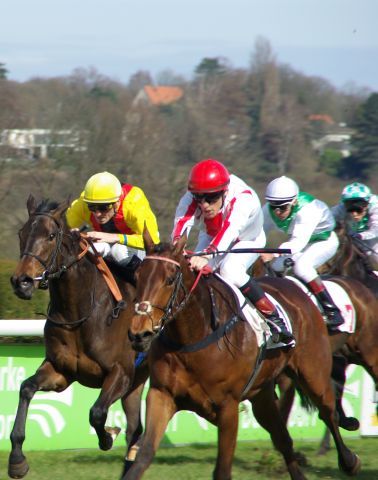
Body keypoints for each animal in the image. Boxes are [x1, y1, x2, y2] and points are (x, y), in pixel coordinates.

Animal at [8, 196, 148, 480]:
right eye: (21, 233)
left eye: (51, 236)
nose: (22, 282)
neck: (80, 312)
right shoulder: (61, 371)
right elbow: (26, 388)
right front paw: (17, 460)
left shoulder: (121, 372)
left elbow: (97, 413)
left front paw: (108, 436)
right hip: (137, 382)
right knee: (135, 429)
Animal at [125, 231, 360, 478]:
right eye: (138, 276)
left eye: (170, 279)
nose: (139, 333)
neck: (192, 338)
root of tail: (298, 289)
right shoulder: (161, 394)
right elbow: (144, 455)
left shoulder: (228, 407)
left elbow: (222, 469)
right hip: (262, 395)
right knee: (283, 439)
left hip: (313, 374)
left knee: (328, 412)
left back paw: (349, 460)